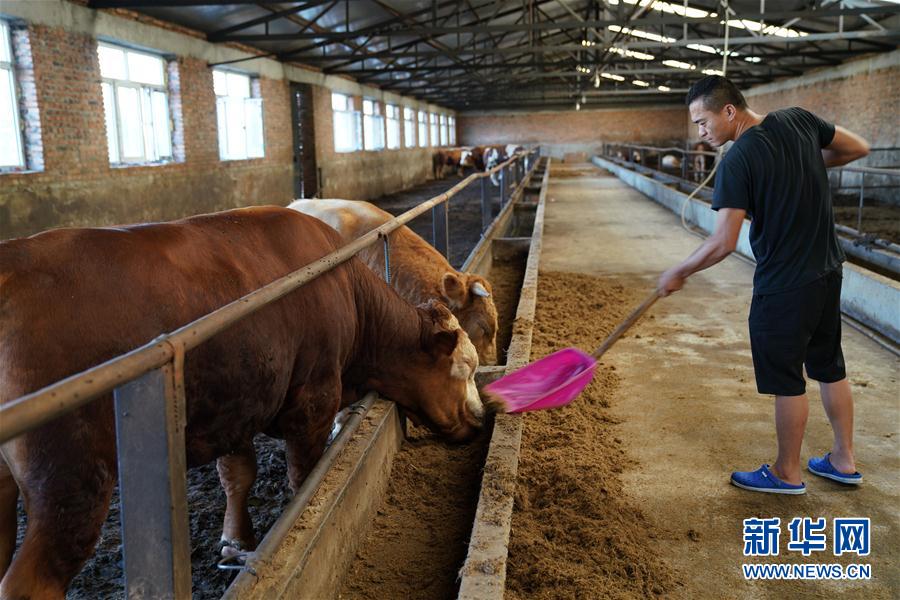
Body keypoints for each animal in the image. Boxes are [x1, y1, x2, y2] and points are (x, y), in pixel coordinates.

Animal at [0, 207, 486, 600]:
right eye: (462, 367)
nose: (481, 418)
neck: (349, 294)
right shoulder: (313, 398)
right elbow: (303, 475)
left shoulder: (235, 406)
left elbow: (237, 475)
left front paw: (236, 542)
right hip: (70, 478)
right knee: (31, 581)